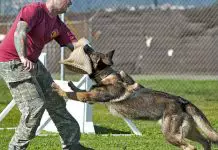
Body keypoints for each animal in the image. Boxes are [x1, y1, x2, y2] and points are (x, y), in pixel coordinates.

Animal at [52, 44, 218, 150]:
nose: (85, 45)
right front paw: (70, 84)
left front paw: (59, 89)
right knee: (206, 141)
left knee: (191, 147)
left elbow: (77, 93)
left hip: (171, 134)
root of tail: (182, 101)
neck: (107, 75)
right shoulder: (91, 97)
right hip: (189, 132)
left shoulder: (90, 96)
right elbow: (79, 89)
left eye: (92, 53)